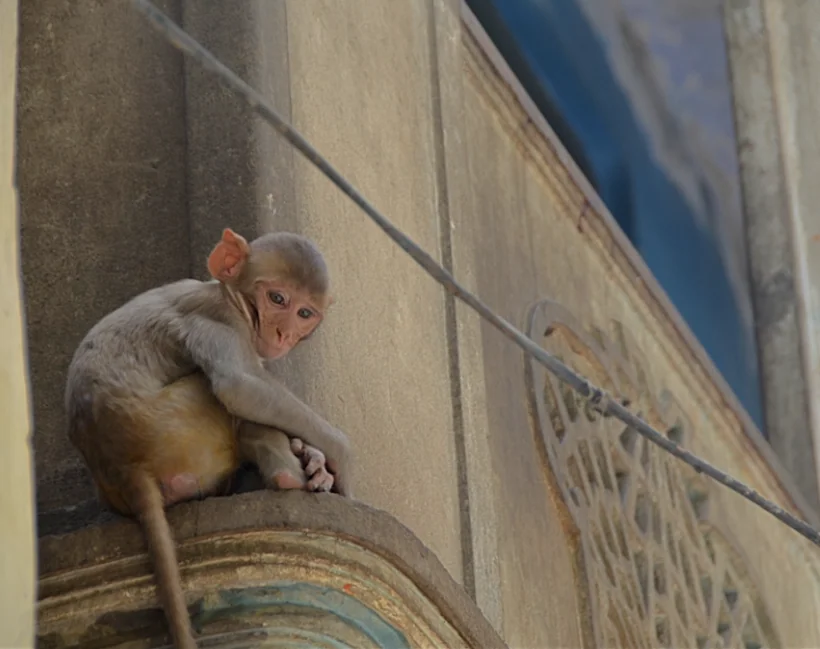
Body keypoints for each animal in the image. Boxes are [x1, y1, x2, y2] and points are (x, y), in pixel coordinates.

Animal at [64, 228, 352, 649]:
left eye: (304, 313)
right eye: (277, 298)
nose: (283, 334)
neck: (230, 295)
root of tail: (123, 467)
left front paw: (315, 456)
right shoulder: (219, 321)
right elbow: (239, 386)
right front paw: (340, 455)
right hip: (179, 428)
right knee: (222, 393)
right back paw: (286, 476)